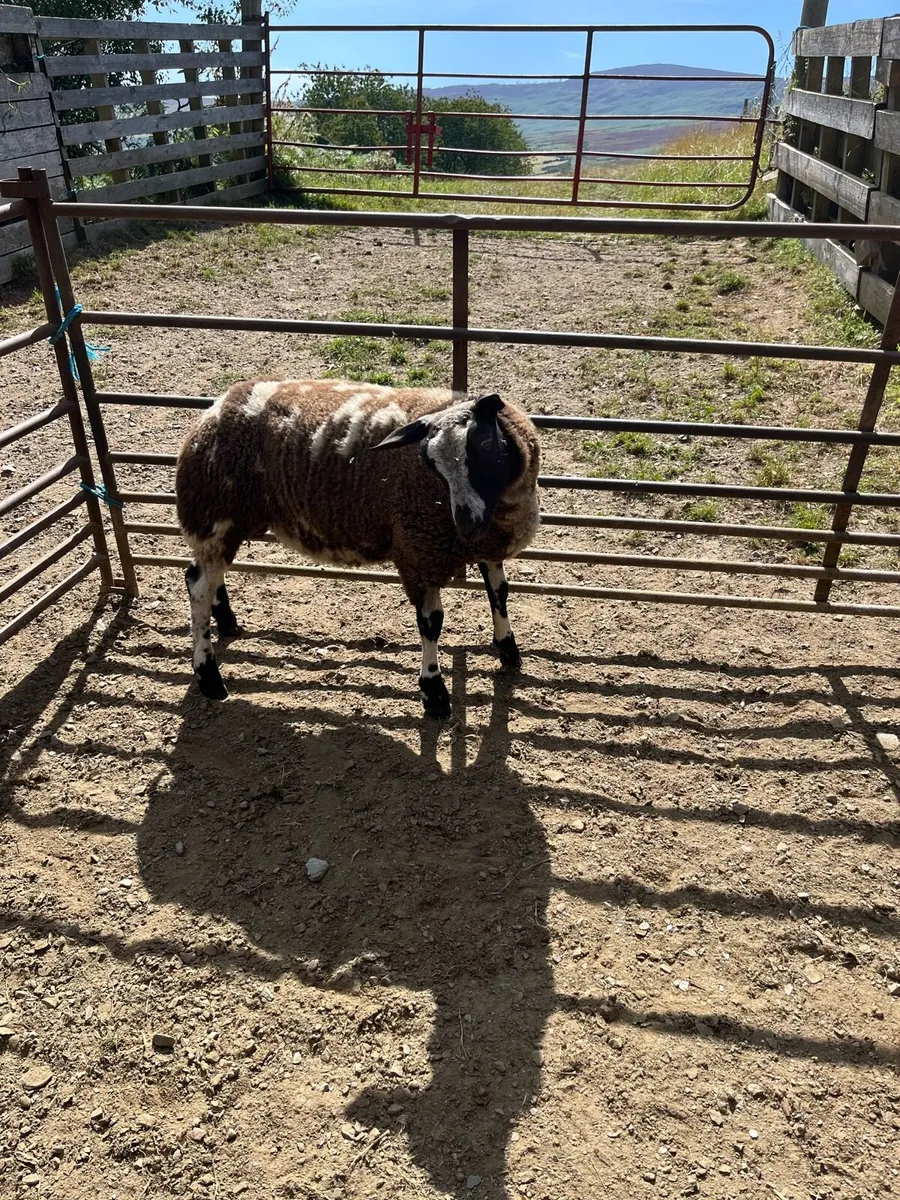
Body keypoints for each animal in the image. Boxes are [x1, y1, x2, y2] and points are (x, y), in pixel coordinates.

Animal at [174, 378, 541, 717]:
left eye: (485, 442)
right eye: (429, 462)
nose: (467, 524)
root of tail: (217, 406)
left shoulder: (488, 545)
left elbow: (499, 594)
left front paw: (509, 650)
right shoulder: (416, 552)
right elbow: (431, 623)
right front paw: (434, 694)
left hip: (224, 520)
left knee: (208, 575)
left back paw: (226, 622)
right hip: (215, 511)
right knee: (197, 585)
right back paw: (209, 677)